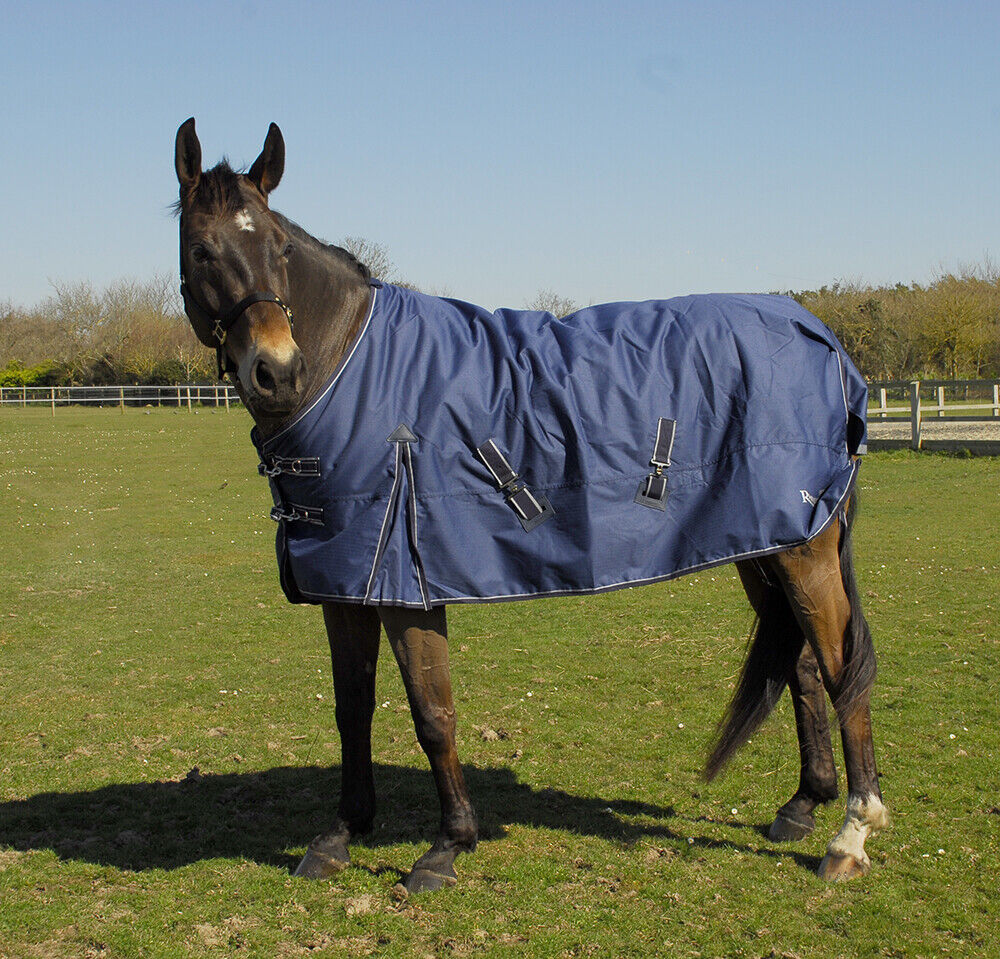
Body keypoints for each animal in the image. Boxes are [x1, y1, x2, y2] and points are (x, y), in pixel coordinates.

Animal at [173, 118, 887, 893]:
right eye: (202, 248)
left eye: (278, 248)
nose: (277, 371)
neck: (350, 368)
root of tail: (822, 337)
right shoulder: (345, 584)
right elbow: (352, 708)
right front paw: (339, 834)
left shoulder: (408, 587)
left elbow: (433, 713)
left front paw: (447, 847)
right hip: (762, 546)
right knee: (804, 665)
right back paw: (803, 805)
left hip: (803, 550)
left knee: (841, 666)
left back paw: (850, 834)